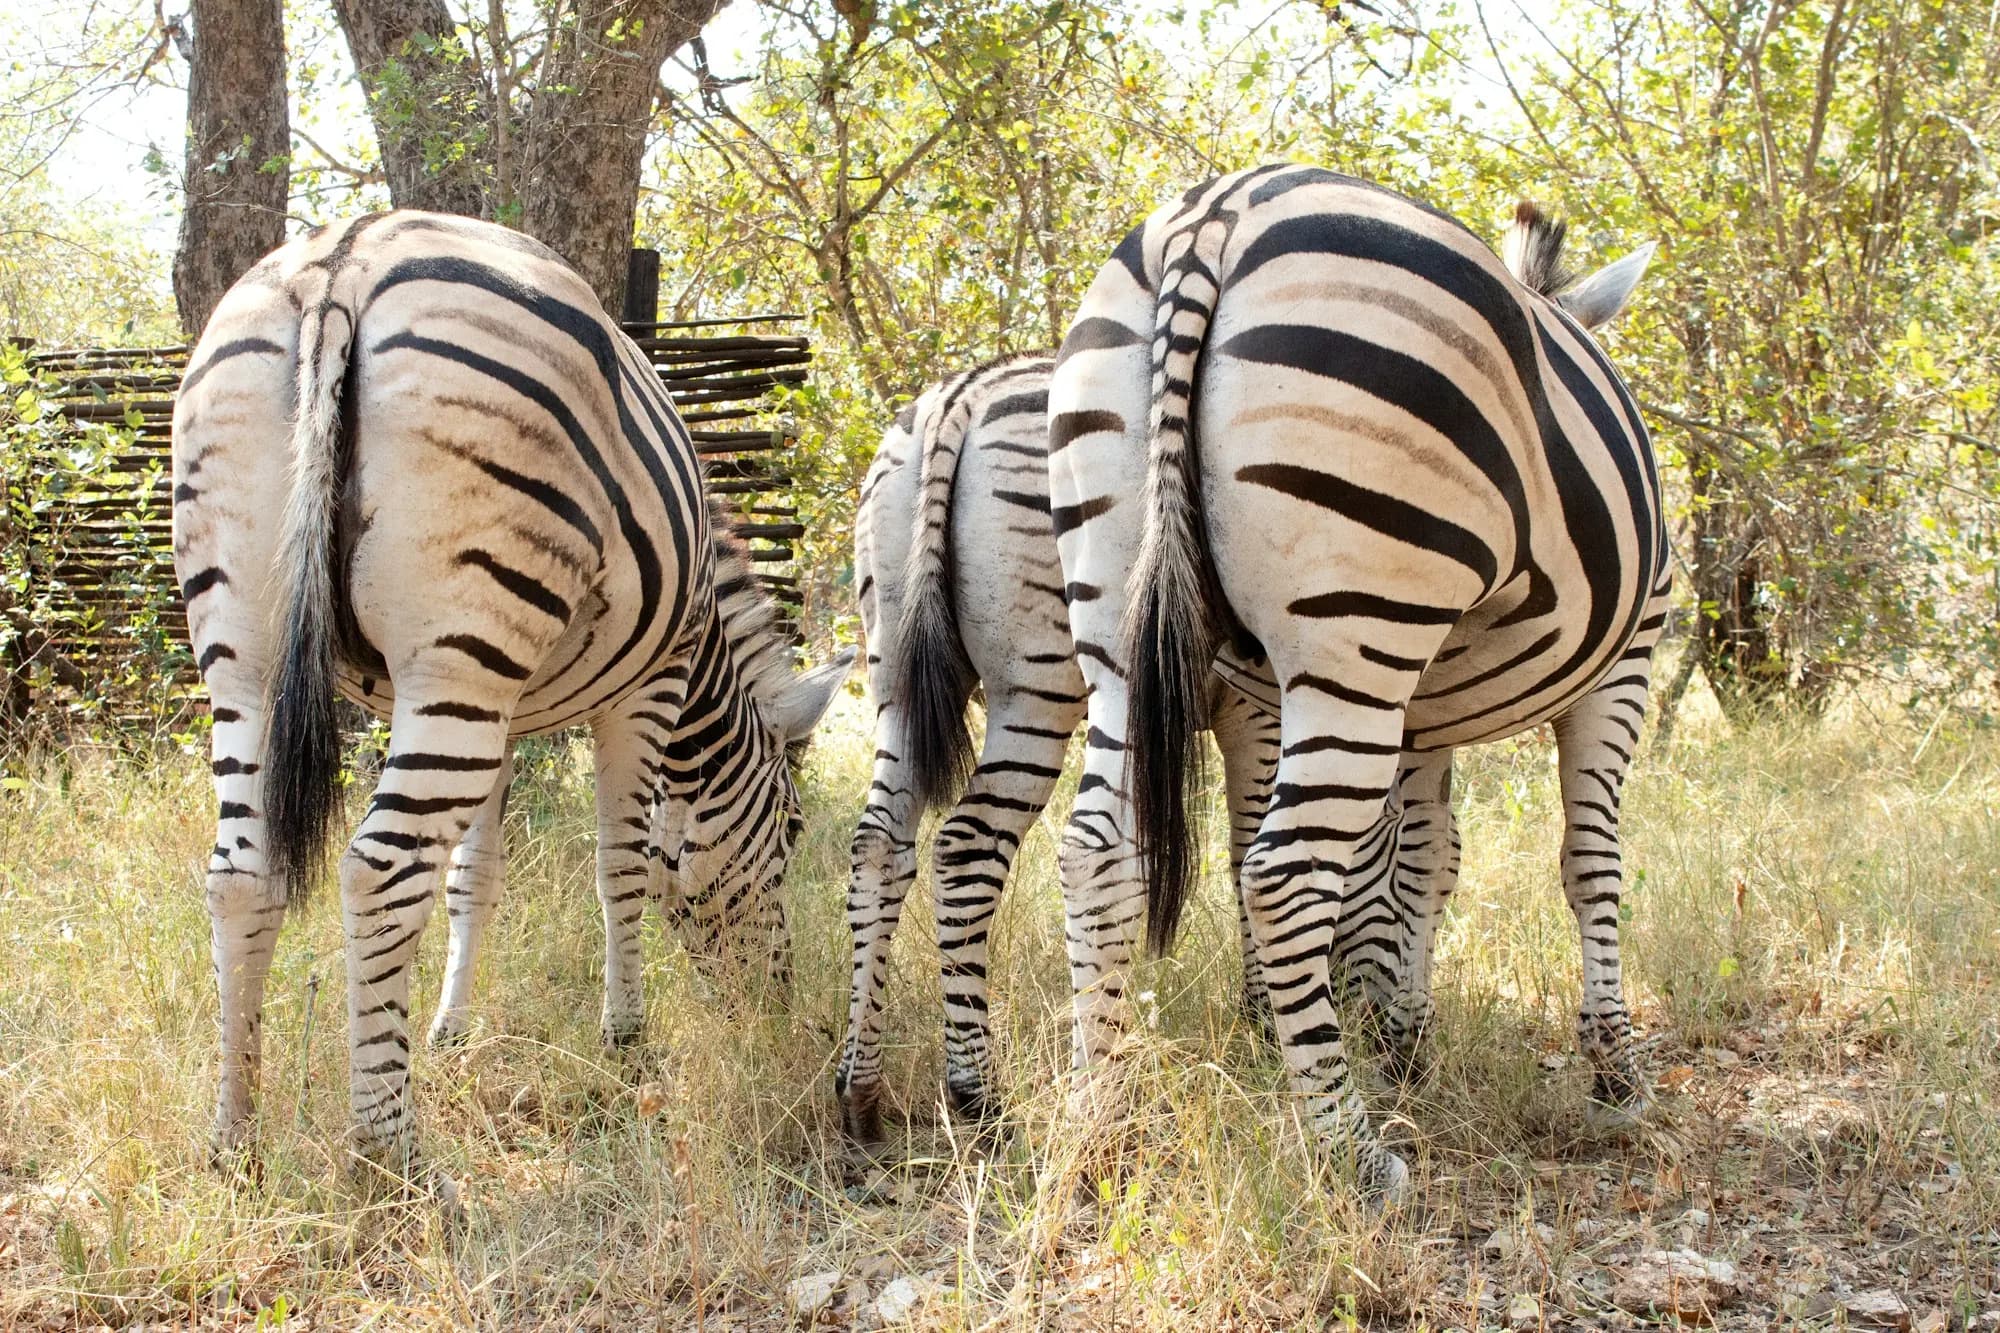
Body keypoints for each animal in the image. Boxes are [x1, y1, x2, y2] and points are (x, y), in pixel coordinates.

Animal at [172, 211, 851, 1168]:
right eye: (791, 830)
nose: (774, 1007)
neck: (706, 651)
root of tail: (343, 263)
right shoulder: (647, 687)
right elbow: (621, 863)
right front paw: (627, 1039)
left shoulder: (500, 707)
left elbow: (474, 875)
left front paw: (451, 1032)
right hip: (458, 643)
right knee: (378, 870)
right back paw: (392, 1153)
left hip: (259, 650)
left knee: (241, 875)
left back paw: (236, 1139)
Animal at [1046, 165, 1670, 1199]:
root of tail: (1214, 217)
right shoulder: (1625, 667)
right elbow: (1590, 862)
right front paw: (1615, 1066)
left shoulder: (1426, 712)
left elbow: (1424, 861)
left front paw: (1405, 1037)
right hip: (1360, 623)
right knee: (1283, 874)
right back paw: (1348, 1147)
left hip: (1116, 620)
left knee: (1098, 851)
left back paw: (1103, 1120)